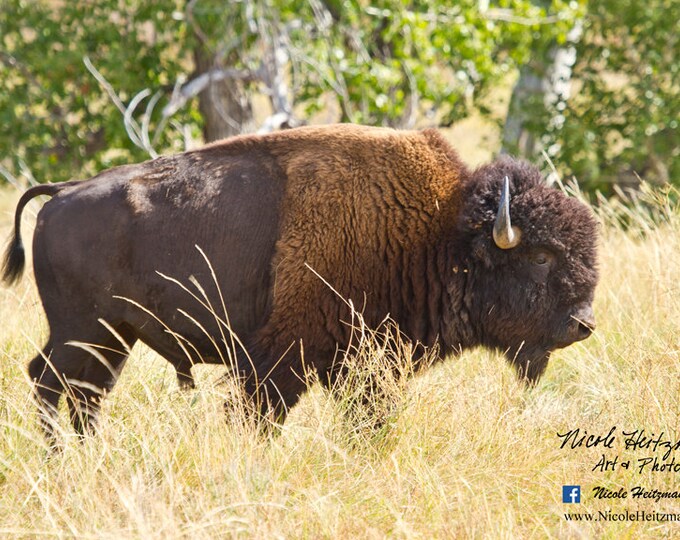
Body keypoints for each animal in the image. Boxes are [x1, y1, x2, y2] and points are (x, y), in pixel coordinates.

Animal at [1, 124, 596, 436]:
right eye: (541, 256)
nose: (584, 325)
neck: (439, 230)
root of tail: (62, 193)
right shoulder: (282, 360)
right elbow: (259, 415)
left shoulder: (366, 368)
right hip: (84, 330)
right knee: (52, 383)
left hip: (112, 337)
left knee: (83, 393)